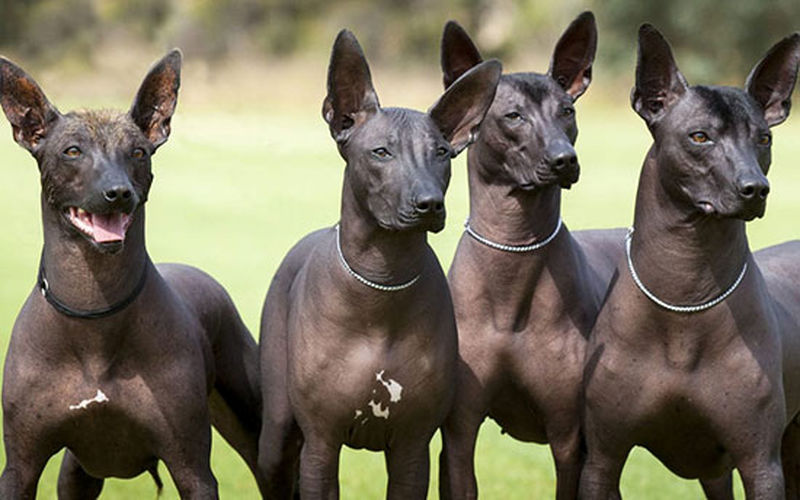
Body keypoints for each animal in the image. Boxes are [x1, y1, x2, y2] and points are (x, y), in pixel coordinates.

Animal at [580, 24, 800, 500]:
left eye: (764, 138)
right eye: (700, 136)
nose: (756, 188)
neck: (686, 290)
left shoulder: (760, 464)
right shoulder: (602, 460)